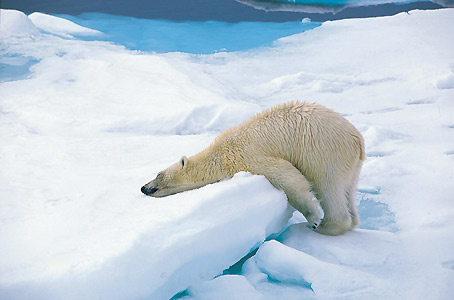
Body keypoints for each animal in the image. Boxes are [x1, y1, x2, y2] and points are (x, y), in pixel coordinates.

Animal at [142, 102, 366, 236]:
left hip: (322, 151)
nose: (144, 188)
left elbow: (290, 179)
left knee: (328, 186)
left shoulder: (248, 156)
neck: (220, 152)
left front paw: (312, 219)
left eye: (158, 175)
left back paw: (327, 227)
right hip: (351, 164)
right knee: (347, 188)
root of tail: (357, 139)